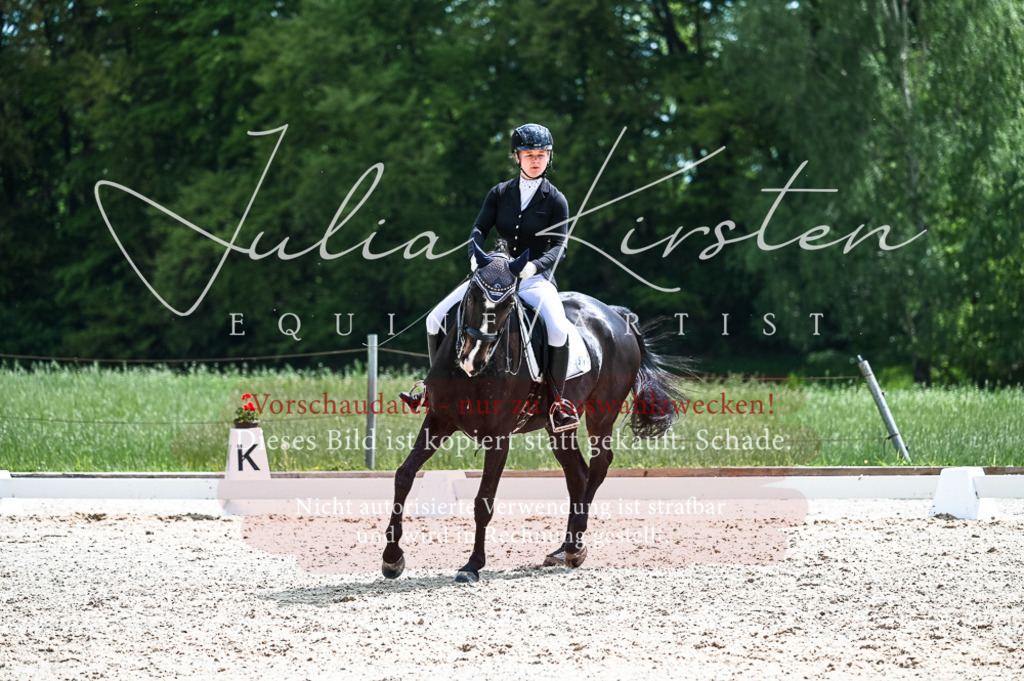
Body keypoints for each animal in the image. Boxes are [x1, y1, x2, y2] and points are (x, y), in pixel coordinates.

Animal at [382, 241, 684, 582]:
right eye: (473, 295)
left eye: (506, 305)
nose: (473, 358)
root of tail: (617, 316)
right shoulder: (438, 421)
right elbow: (404, 475)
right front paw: (392, 558)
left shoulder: (499, 437)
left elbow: (484, 501)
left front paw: (472, 565)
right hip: (558, 427)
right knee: (577, 473)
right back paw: (565, 549)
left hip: (601, 412)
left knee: (599, 465)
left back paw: (575, 545)